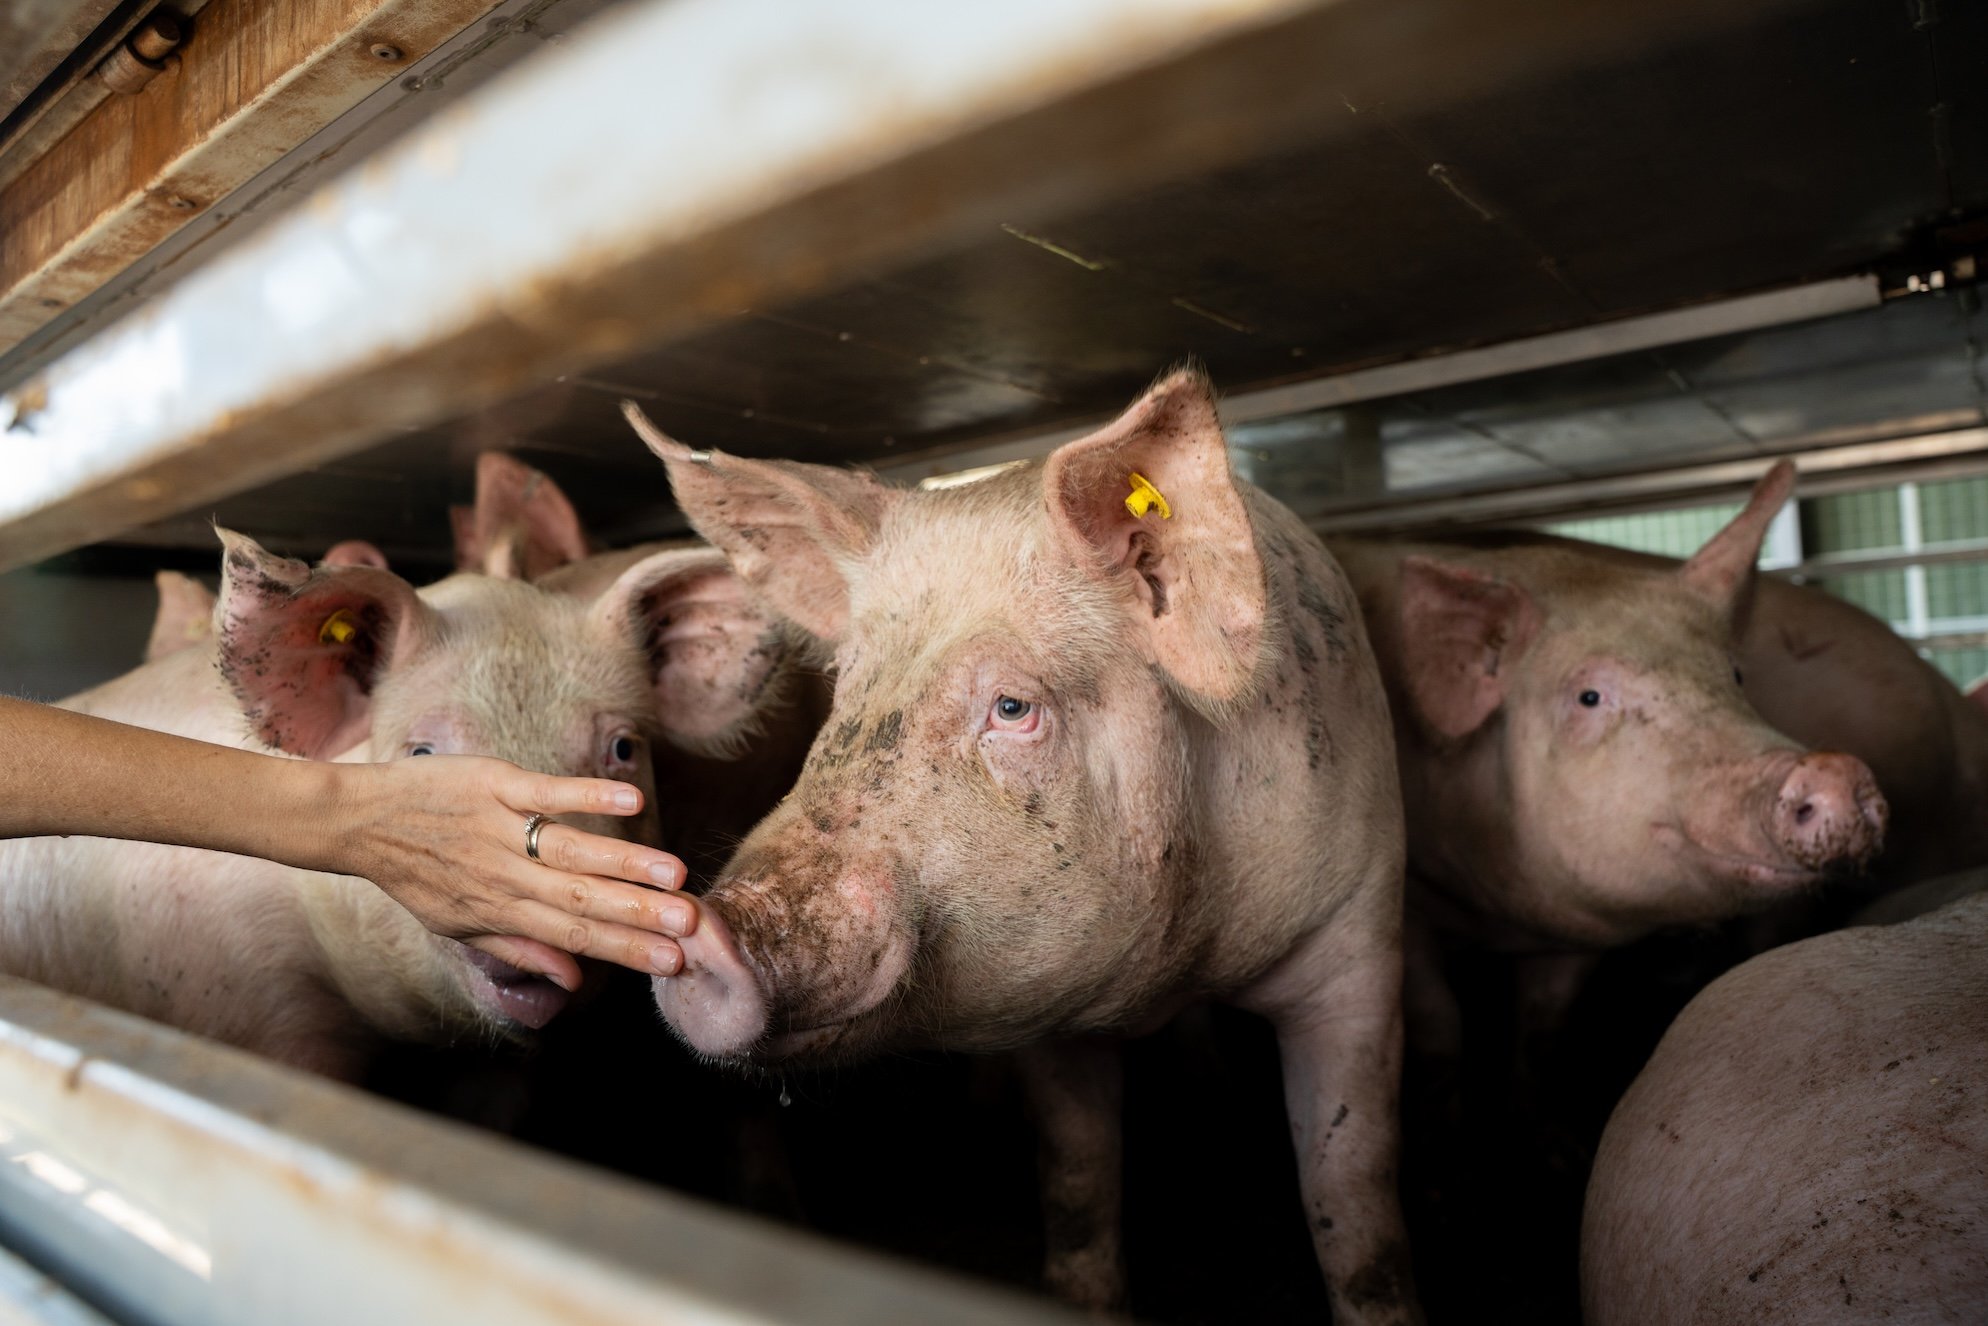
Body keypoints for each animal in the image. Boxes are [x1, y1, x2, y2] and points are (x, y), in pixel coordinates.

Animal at [625, 371, 1422, 1324]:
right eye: (846, 687)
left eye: (1012, 706)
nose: (706, 922)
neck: (1186, 959)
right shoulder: (1041, 994)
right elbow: (1077, 1181)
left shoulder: (1360, 929)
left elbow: (1356, 1200)